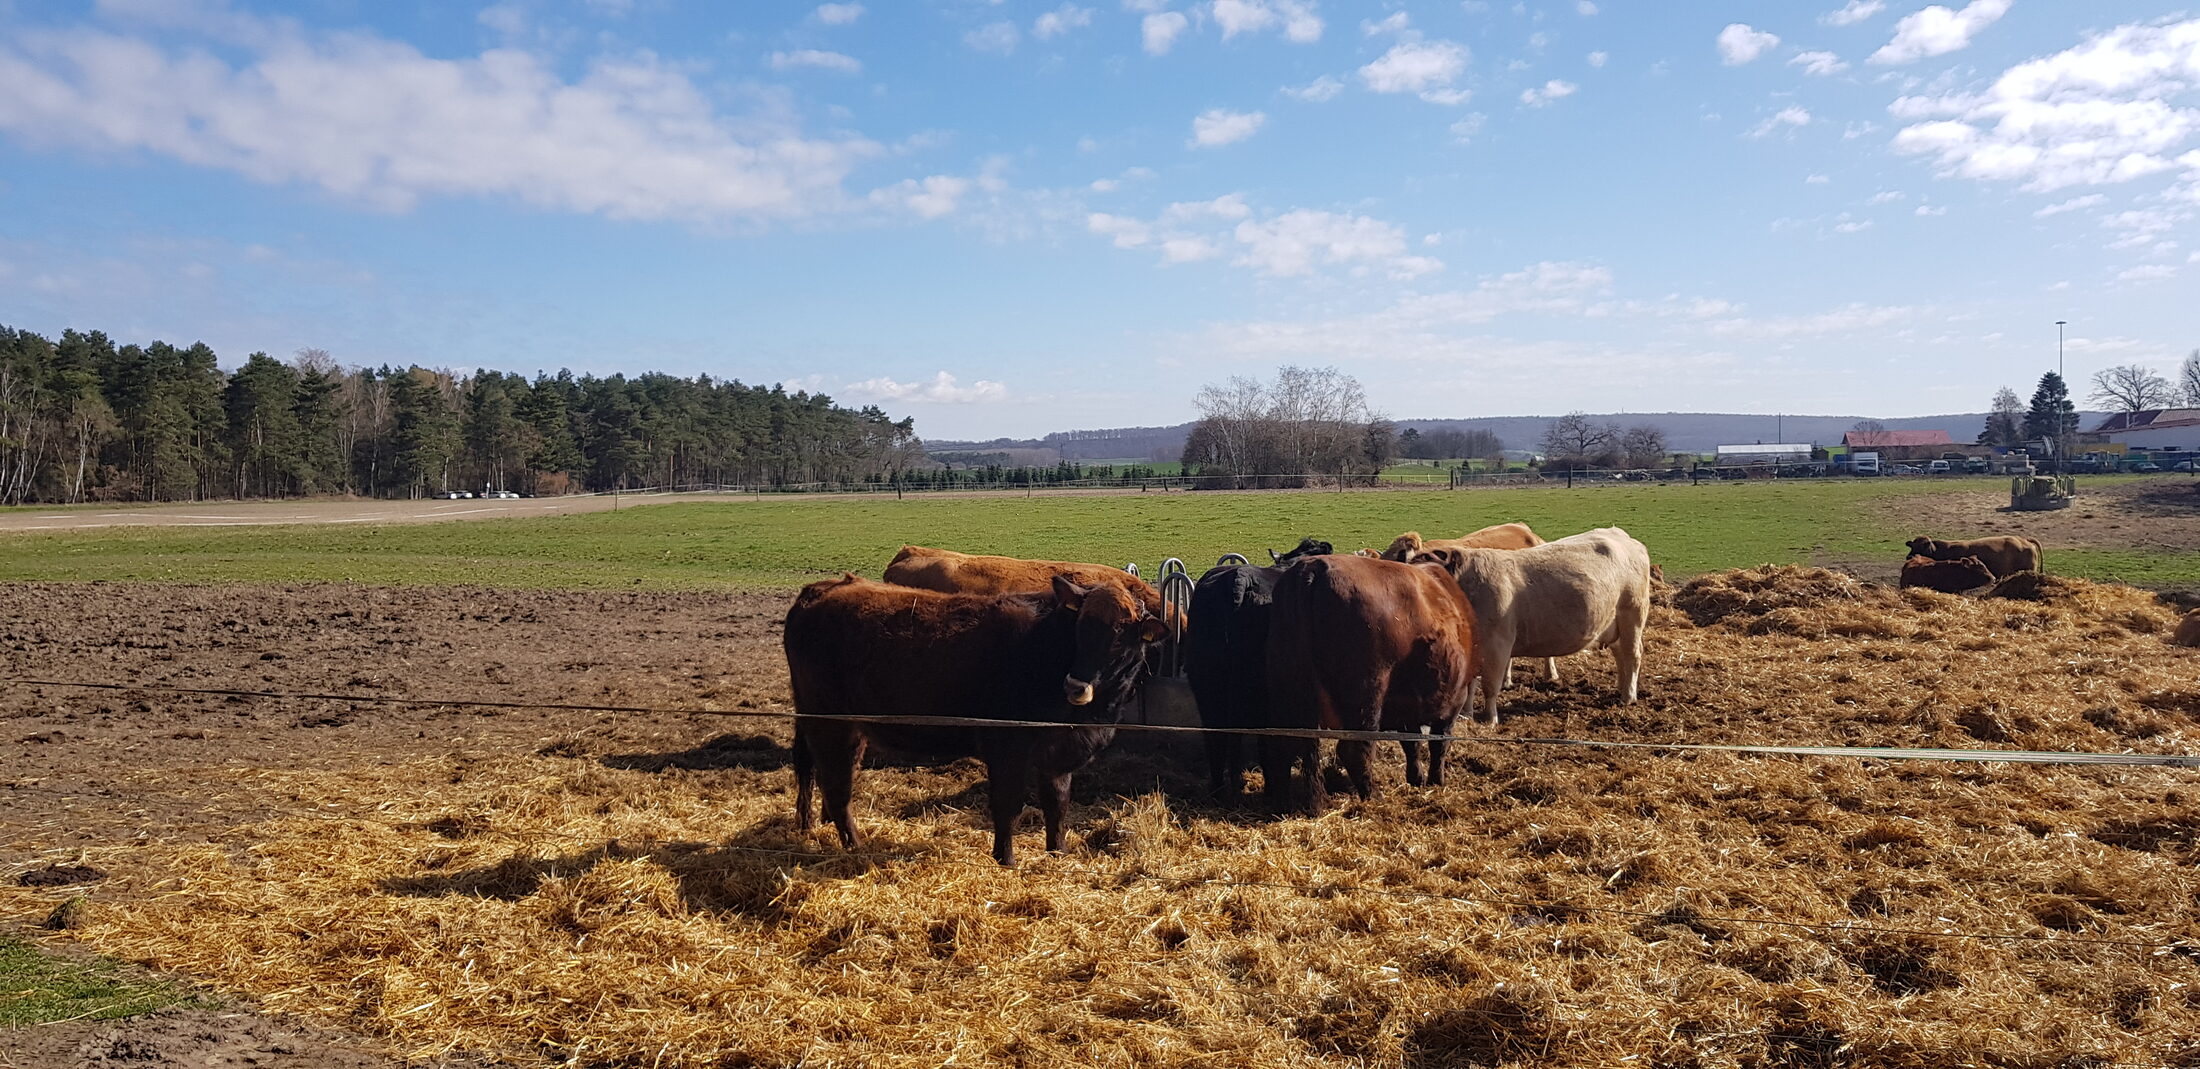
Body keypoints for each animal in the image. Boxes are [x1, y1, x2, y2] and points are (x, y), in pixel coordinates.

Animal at [792, 571, 1170, 862]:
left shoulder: (1057, 756)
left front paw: (1057, 853)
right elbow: (1008, 806)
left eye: (1120, 637)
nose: (1075, 686)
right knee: (836, 785)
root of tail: (825, 587)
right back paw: (854, 845)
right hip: (831, 726)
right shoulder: (1006, 747)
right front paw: (1006, 860)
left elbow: (1057, 805)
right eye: (1081, 627)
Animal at [1267, 554, 1487, 813]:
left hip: (1289, 691)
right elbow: (1439, 743)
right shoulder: (1454, 700)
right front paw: (1436, 780)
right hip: (1366, 694)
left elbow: (1412, 743)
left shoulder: (1407, 706)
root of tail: (1313, 566)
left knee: (1287, 744)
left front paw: (1417, 778)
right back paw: (1373, 795)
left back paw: (1290, 801)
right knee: (1354, 749)